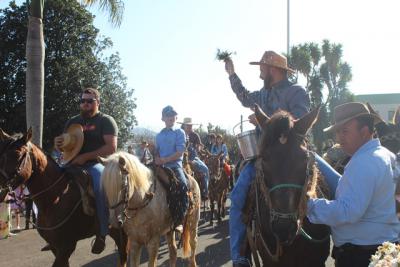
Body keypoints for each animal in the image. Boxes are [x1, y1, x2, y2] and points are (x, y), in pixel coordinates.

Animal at [0, 129, 127, 266]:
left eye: (18, 155)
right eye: (1, 155)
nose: (1, 189)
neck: (54, 199)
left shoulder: (66, 246)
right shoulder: (55, 247)